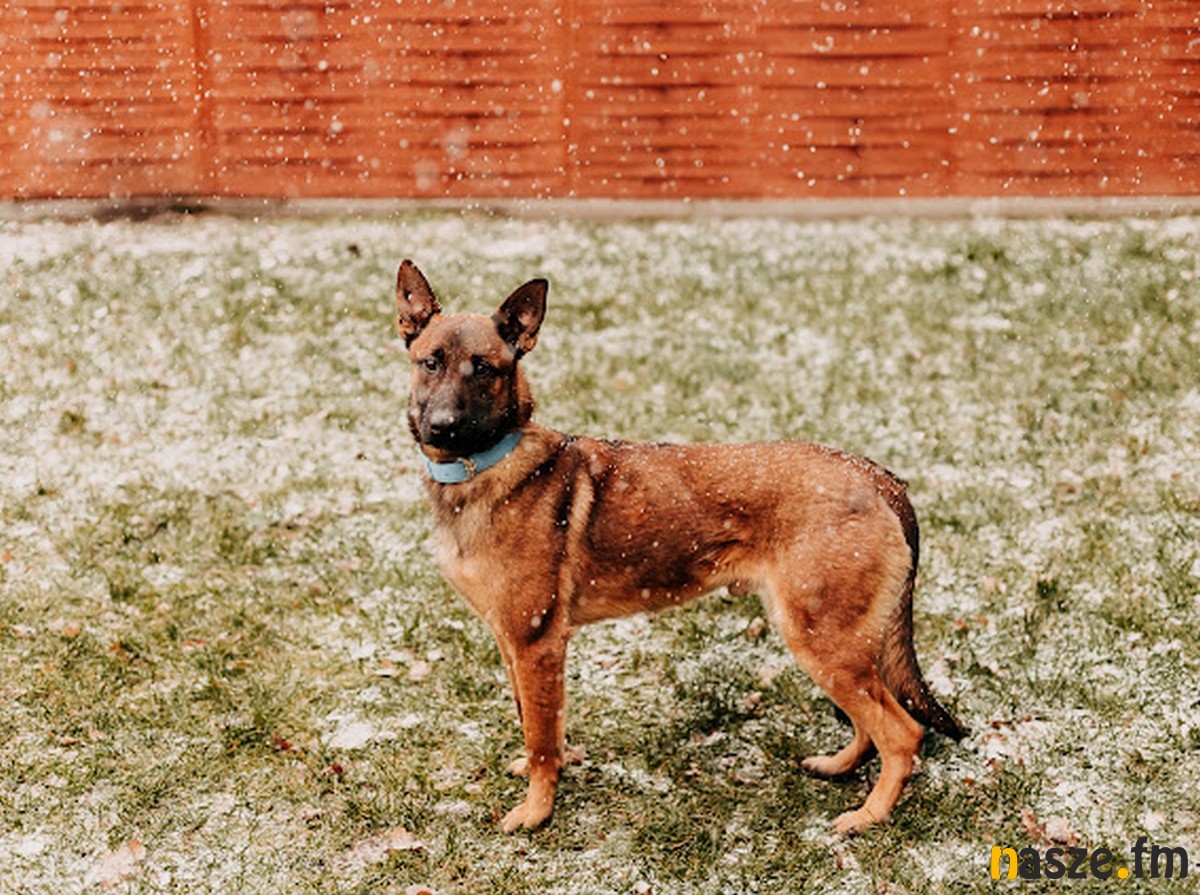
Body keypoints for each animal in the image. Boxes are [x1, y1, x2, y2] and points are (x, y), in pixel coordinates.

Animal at [394, 260, 965, 834]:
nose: (442, 426)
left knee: (903, 733)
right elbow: (534, 722)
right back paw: (840, 766)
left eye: (484, 369)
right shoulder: (513, 642)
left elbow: (539, 737)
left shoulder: (536, 643)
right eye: (431, 363)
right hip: (839, 644)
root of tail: (877, 476)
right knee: (872, 723)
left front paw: (536, 812)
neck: (485, 466)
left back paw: (868, 815)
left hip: (821, 640)